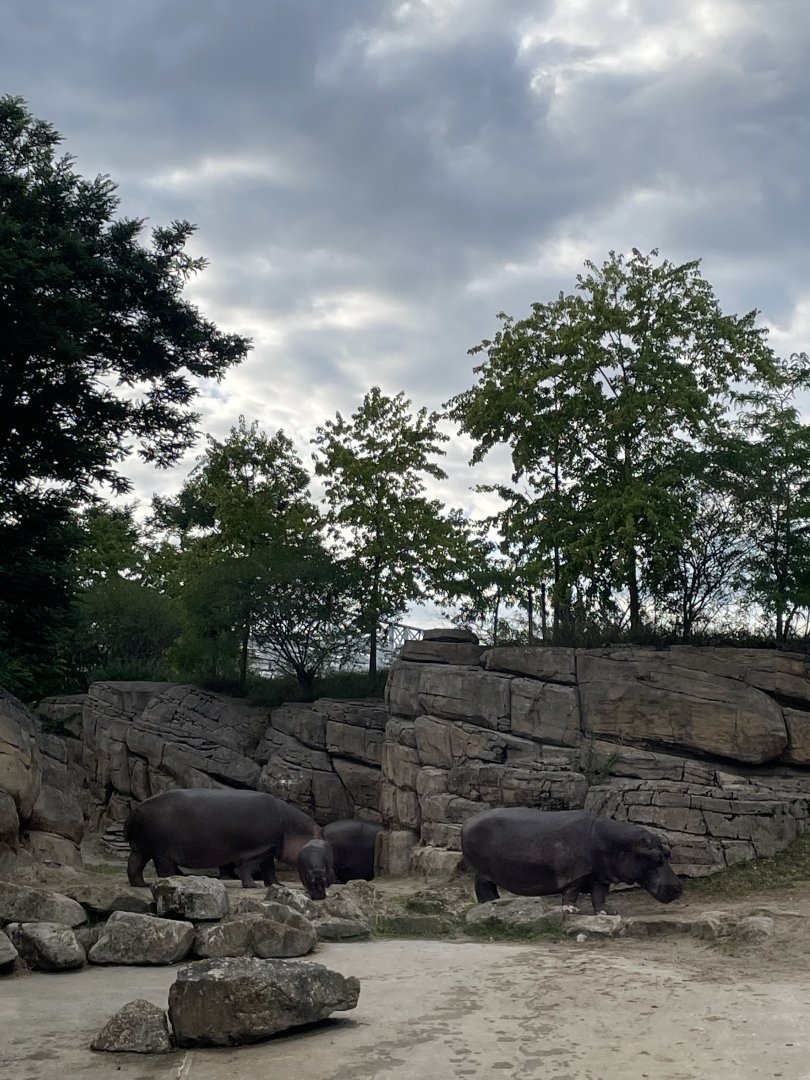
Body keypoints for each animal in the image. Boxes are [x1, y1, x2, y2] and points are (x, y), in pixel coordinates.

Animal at [124, 788, 331, 899]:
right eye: (321, 835)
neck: (290, 827)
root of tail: (135, 810)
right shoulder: (261, 849)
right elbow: (247, 868)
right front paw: (253, 886)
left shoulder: (270, 849)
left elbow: (269, 870)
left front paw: (279, 885)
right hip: (161, 851)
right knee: (163, 869)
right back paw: (175, 880)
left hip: (142, 848)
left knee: (133, 865)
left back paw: (141, 884)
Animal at [461, 807, 682, 914]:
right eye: (653, 857)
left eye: (667, 853)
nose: (678, 887)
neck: (619, 845)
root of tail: (468, 821)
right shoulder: (576, 873)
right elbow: (571, 891)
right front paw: (571, 910)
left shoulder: (600, 876)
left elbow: (599, 895)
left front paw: (608, 912)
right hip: (482, 870)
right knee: (483, 886)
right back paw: (490, 903)